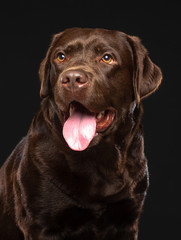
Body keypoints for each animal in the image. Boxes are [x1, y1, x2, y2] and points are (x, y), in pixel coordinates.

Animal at [0, 27, 161, 239]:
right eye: (61, 57)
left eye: (107, 58)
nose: (72, 79)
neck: (97, 159)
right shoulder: (42, 225)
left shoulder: (127, 222)